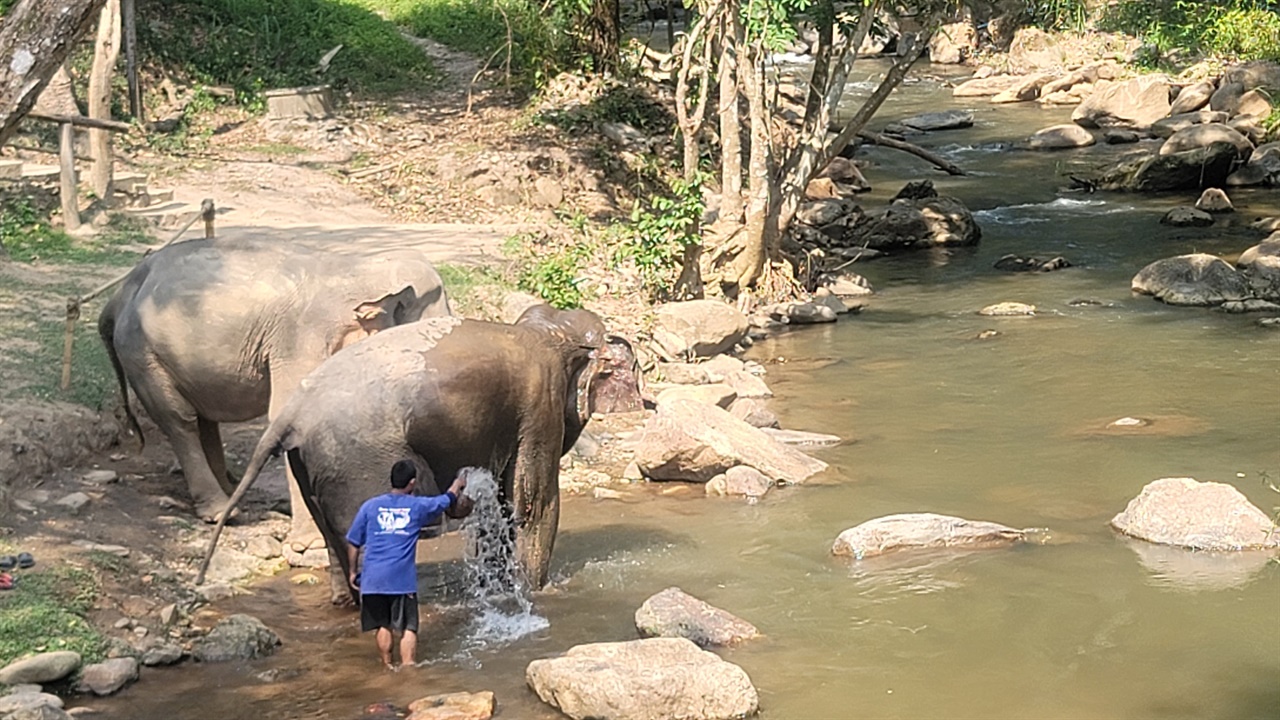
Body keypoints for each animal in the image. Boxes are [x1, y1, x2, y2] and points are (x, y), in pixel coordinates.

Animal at [101, 234, 450, 538]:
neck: (358, 271)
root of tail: (117, 296)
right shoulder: (299, 340)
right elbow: (291, 416)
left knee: (203, 419)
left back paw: (234, 496)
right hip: (141, 352)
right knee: (179, 419)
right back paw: (221, 510)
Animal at [195, 303, 645, 599]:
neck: (547, 332)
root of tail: (290, 414)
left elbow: (499, 505)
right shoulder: (538, 407)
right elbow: (531, 505)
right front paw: (538, 593)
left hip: (310, 465)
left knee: (334, 541)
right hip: (358, 465)